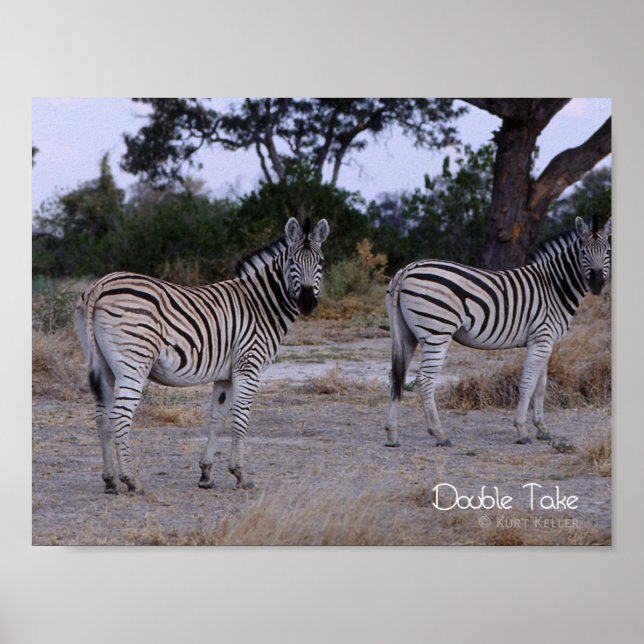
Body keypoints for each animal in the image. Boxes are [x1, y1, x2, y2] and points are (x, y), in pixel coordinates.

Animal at [75, 217, 330, 494]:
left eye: (321, 262)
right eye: (292, 261)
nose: (307, 302)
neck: (261, 305)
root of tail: (101, 284)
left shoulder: (225, 375)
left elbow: (217, 419)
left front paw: (206, 474)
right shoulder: (248, 365)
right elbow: (240, 419)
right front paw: (241, 475)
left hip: (103, 365)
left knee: (101, 417)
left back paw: (110, 479)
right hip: (133, 363)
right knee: (120, 416)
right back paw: (131, 481)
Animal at [384, 216, 611, 447]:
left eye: (608, 251)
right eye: (583, 252)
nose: (597, 283)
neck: (554, 287)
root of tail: (407, 270)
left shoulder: (546, 342)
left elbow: (541, 386)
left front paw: (542, 429)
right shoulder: (541, 339)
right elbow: (528, 384)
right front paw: (522, 430)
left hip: (406, 334)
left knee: (396, 376)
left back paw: (392, 435)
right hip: (437, 333)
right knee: (425, 379)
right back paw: (440, 434)